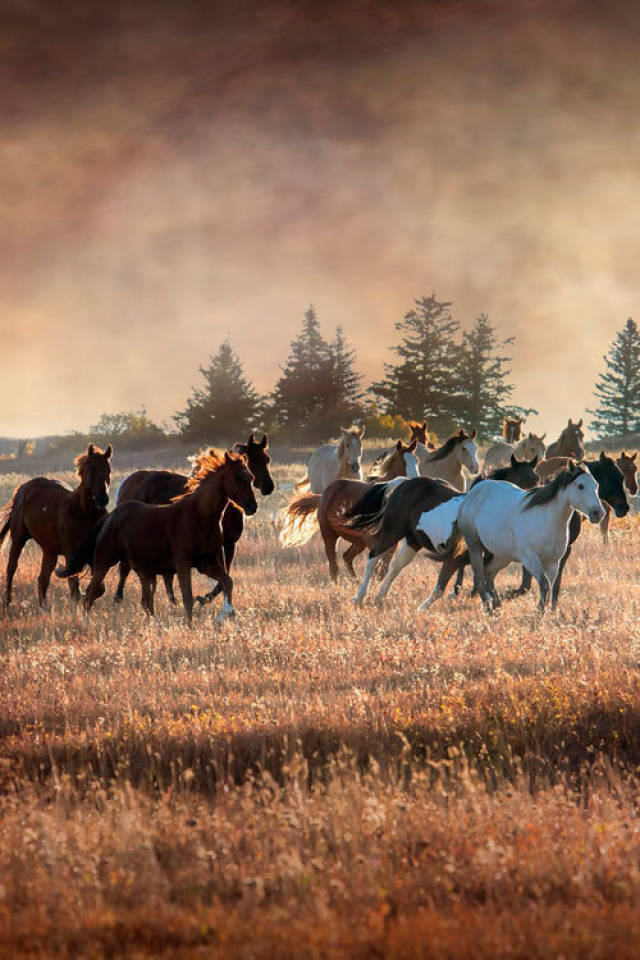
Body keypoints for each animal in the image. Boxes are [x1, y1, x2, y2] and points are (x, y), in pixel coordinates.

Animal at [0, 444, 111, 608]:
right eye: (91, 470)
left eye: (108, 469)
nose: (102, 499)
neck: (83, 513)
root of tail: (23, 488)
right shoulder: (71, 555)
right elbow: (74, 589)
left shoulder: (92, 556)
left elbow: (98, 589)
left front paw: (86, 599)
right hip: (19, 539)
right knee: (11, 568)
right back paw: (7, 603)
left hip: (49, 550)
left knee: (42, 579)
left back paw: (43, 608)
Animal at [58, 448, 258, 624]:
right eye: (237, 478)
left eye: (251, 477)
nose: (252, 506)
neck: (199, 516)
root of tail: (111, 515)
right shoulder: (183, 562)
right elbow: (188, 598)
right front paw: (191, 626)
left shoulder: (206, 562)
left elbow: (227, 582)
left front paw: (225, 614)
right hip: (104, 561)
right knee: (90, 595)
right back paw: (85, 622)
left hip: (144, 569)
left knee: (146, 602)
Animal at [115, 434, 272, 604]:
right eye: (253, 462)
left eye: (267, 460)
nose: (269, 487)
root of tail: (128, 482)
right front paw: (204, 598)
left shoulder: (229, 543)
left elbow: (225, 575)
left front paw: (206, 598)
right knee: (126, 567)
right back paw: (119, 597)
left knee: (164, 574)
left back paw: (172, 600)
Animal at [280, 438, 420, 580]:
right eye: (403, 462)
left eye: (417, 460)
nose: (416, 482)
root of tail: (325, 493)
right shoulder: (374, 543)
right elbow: (377, 569)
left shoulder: (391, 545)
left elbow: (383, 571)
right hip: (330, 535)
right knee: (334, 566)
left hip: (358, 542)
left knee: (347, 557)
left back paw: (354, 581)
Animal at [458, 466, 604, 616]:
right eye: (580, 486)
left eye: (596, 485)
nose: (598, 513)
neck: (547, 519)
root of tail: (473, 491)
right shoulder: (530, 559)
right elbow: (544, 584)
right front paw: (540, 612)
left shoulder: (553, 563)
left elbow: (551, 585)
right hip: (474, 545)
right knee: (479, 577)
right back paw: (488, 608)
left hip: (502, 556)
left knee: (489, 573)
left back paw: (496, 605)